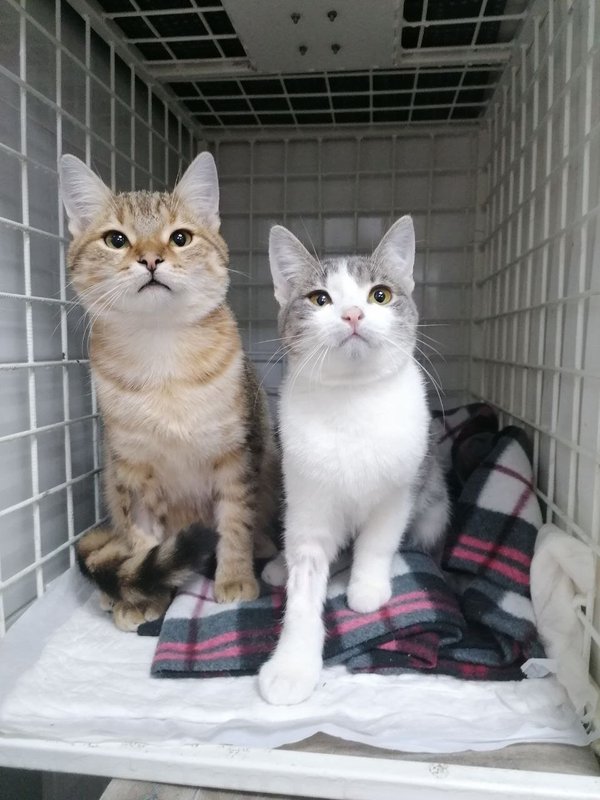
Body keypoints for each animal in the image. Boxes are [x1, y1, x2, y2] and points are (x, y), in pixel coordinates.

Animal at [59, 152, 278, 631]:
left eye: (180, 237)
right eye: (116, 239)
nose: (151, 260)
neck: (163, 364)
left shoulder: (236, 454)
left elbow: (235, 520)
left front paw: (235, 577)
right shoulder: (133, 469)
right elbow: (143, 539)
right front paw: (145, 595)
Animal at [258, 216, 449, 704]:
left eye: (379, 294)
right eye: (319, 299)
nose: (353, 315)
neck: (352, 402)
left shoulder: (402, 487)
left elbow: (378, 540)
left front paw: (367, 587)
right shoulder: (307, 500)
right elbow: (305, 579)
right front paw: (292, 666)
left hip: (434, 506)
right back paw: (279, 565)